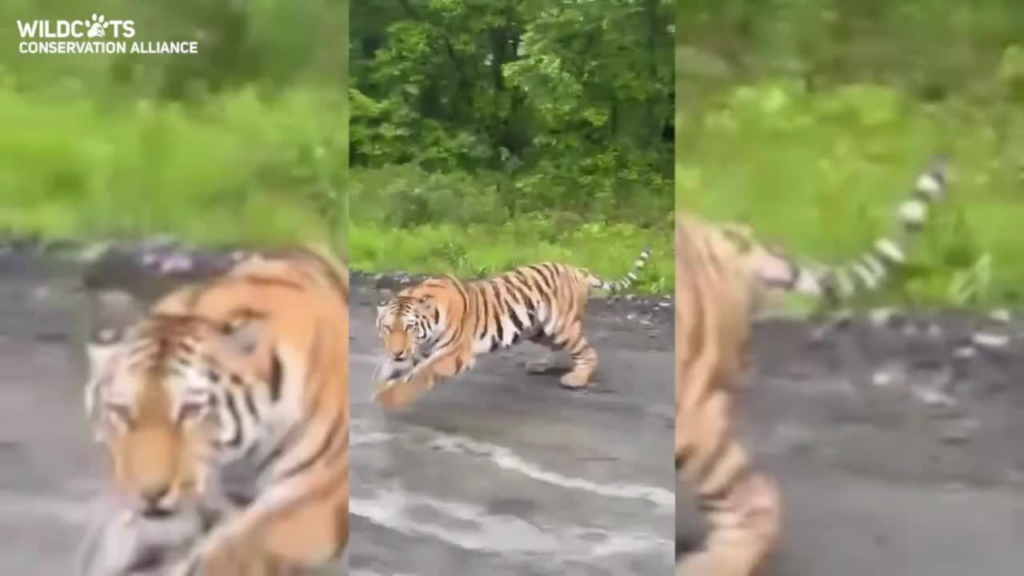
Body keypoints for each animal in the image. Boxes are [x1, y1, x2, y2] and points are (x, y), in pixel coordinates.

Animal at [372, 247, 651, 403]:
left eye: (409, 327)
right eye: (387, 328)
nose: (397, 351)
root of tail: (576, 269)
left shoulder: (452, 354)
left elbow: (418, 376)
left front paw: (388, 397)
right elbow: (390, 369)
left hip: (560, 325)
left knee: (588, 352)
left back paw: (576, 378)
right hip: (539, 329)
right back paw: (540, 365)